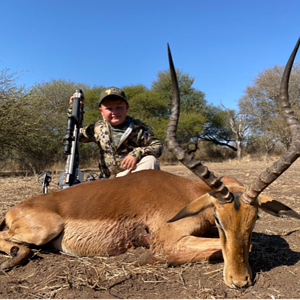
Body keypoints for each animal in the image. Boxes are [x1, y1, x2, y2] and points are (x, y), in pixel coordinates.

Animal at [0, 38, 300, 288]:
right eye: (218, 218)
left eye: (255, 217)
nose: (240, 281)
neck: (189, 194)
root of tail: (16, 208)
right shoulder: (171, 240)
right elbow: (185, 251)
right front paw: (147, 257)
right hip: (44, 230)